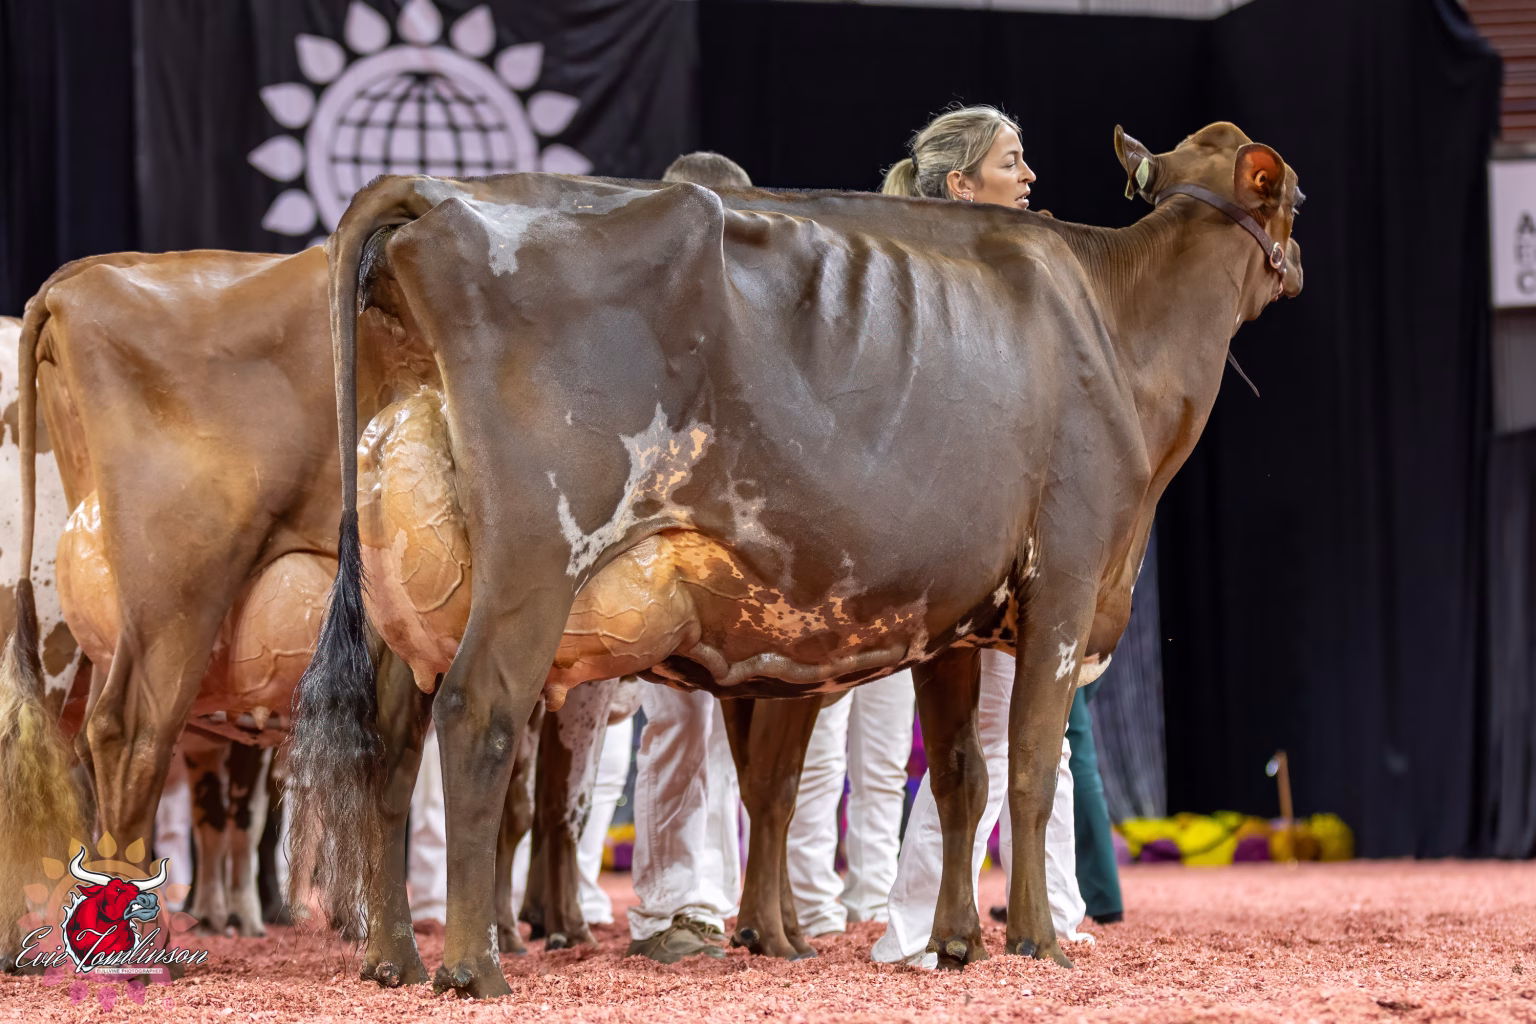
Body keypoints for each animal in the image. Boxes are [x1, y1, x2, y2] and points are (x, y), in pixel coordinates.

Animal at [287, 119, 1302, 997]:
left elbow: (961, 778)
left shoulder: (954, 617)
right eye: (1295, 196)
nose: (1298, 265)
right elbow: (1028, 771)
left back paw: (392, 959)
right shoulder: (1068, 577)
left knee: (389, 747)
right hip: (535, 560)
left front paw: (957, 942)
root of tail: (440, 191)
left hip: (411, 589)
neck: (1119, 326)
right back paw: (473, 966)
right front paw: (1035, 942)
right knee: (477, 714)